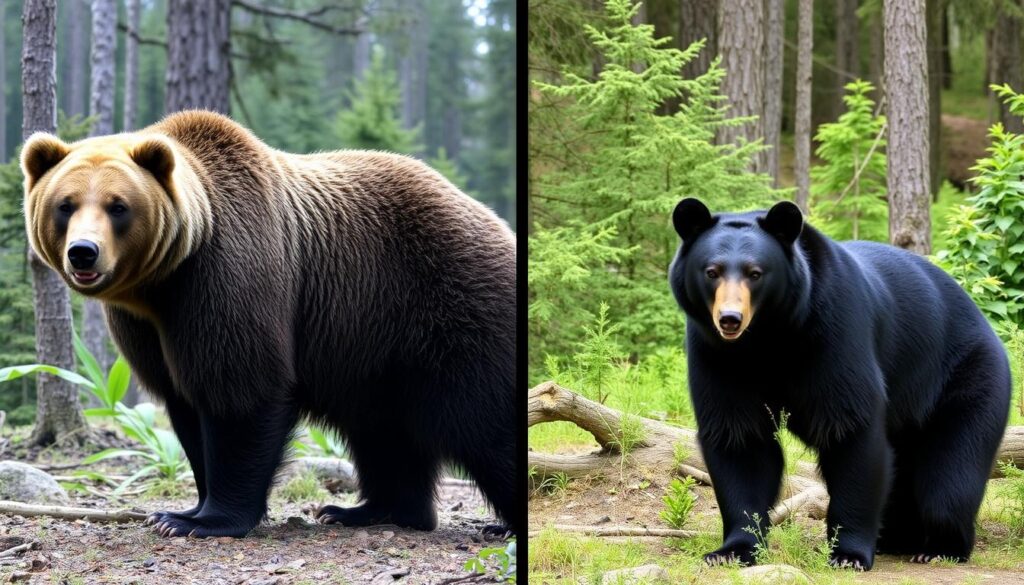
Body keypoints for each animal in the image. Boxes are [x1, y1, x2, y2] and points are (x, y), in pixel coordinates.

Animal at [22, 111, 520, 540]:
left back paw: (502, 521)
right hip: (376, 355)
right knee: (384, 432)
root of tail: (498, 223)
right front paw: (184, 510)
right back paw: (366, 511)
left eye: (118, 206)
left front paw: (202, 520)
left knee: (482, 421)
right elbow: (184, 404)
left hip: (448, 307)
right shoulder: (147, 329)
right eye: (65, 205)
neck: (163, 284)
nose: (83, 252)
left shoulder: (230, 276)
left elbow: (241, 392)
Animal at [667, 198, 1011, 569]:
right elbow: (739, 439)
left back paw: (938, 548)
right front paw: (731, 550)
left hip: (966, 377)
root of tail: (985, 322)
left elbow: (850, 431)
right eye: (712, 271)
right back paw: (896, 539)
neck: (766, 339)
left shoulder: (836, 332)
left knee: (950, 475)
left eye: (755, 273)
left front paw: (848, 554)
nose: (730, 319)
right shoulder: (715, 354)